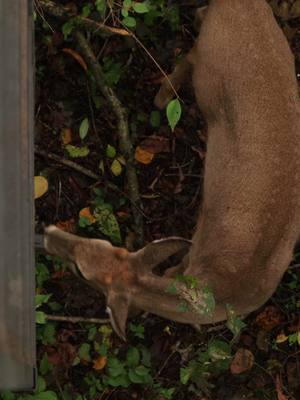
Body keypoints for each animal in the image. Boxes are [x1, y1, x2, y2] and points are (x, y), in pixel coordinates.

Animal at [37, 0, 300, 340]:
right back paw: (161, 100)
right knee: (188, 56)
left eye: (97, 250)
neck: (226, 290)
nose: (49, 233)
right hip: (208, 64)